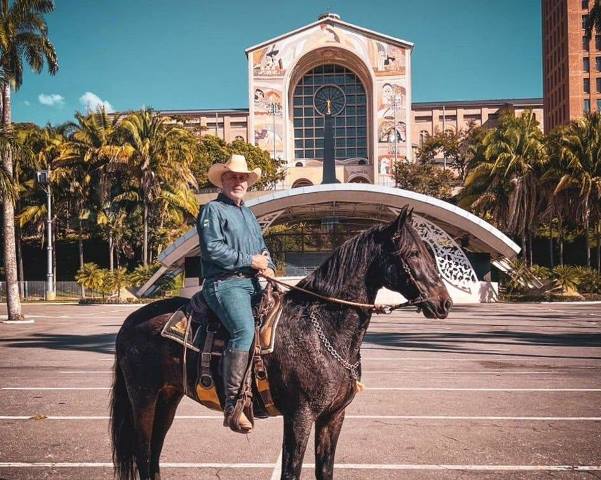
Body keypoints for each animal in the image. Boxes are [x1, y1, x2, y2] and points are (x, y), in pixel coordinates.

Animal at [111, 207, 450, 480]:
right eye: (413, 254)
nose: (444, 303)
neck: (321, 329)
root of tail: (129, 323)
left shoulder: (333, 418)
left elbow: (324, 470)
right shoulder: (300, 416)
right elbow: (291, 471)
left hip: (168, 397)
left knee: (153, 455)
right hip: (143, 398)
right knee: (143, 452)